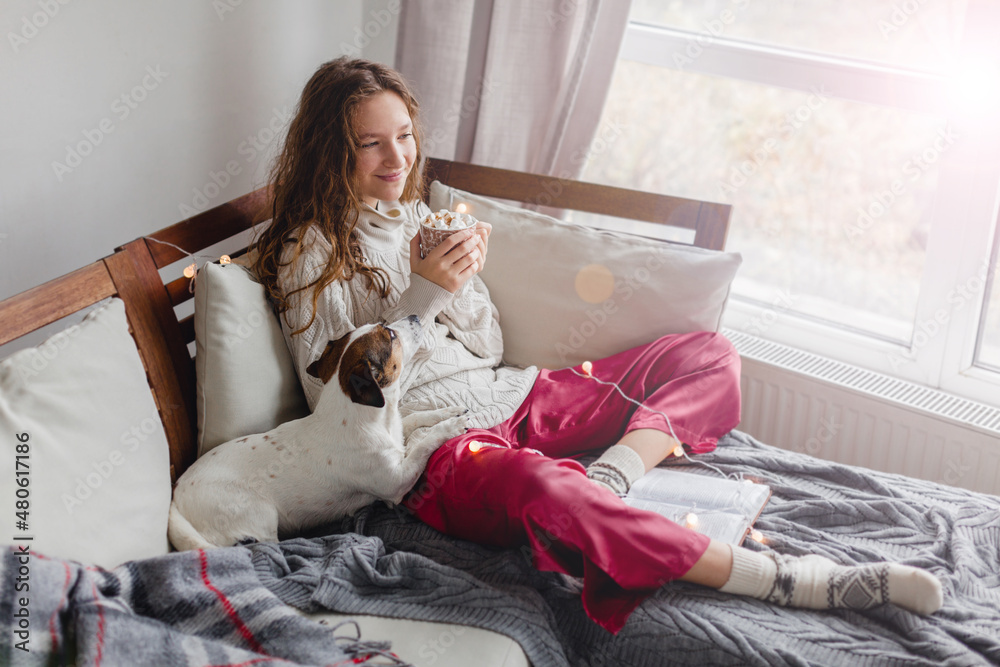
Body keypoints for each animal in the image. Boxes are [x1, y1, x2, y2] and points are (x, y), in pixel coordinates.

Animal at [168, 316, 468, 552]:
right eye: (390, 334)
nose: (416, 316)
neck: (370, 418)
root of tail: (175, 501)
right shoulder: (397, 482)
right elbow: (423, 445)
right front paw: (451, 427)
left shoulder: (398, 434)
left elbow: (415, 419)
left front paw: (448, 411)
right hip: (259, 515)